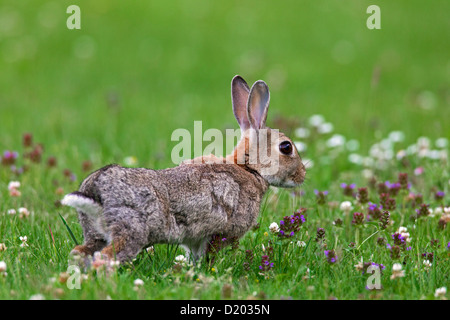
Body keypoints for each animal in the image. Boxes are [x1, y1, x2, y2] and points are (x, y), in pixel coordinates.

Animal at [61, 75, 306, 264]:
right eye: (286, 147)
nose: (303, 175)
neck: (249, 168)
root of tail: (94, 192)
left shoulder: (195, 239)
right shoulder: (218, 233)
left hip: (96, 233)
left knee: (80, 252)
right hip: (131, 229)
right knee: (106, 258)